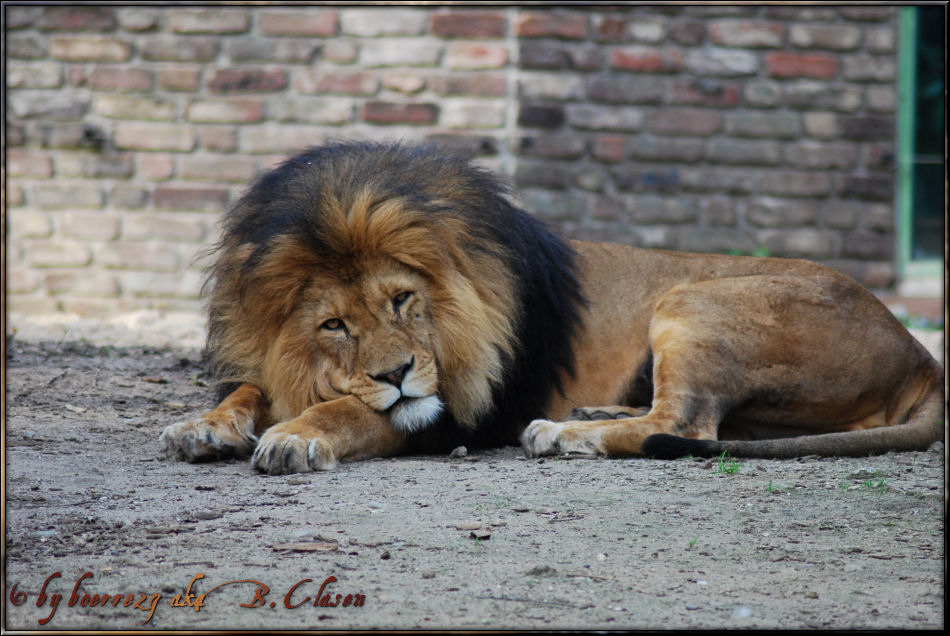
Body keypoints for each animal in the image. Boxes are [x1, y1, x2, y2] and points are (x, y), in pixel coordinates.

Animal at [162, 142, 944, 474]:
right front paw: (203, 426)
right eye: (334, 325)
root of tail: (920, 353)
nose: (399, 373)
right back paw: (593, 414)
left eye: (403, 299)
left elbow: (351, 413)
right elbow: (249, 387)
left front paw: (296, 436)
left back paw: (564, 434)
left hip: (693, 295)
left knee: (681, 424)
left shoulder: (461, 410)